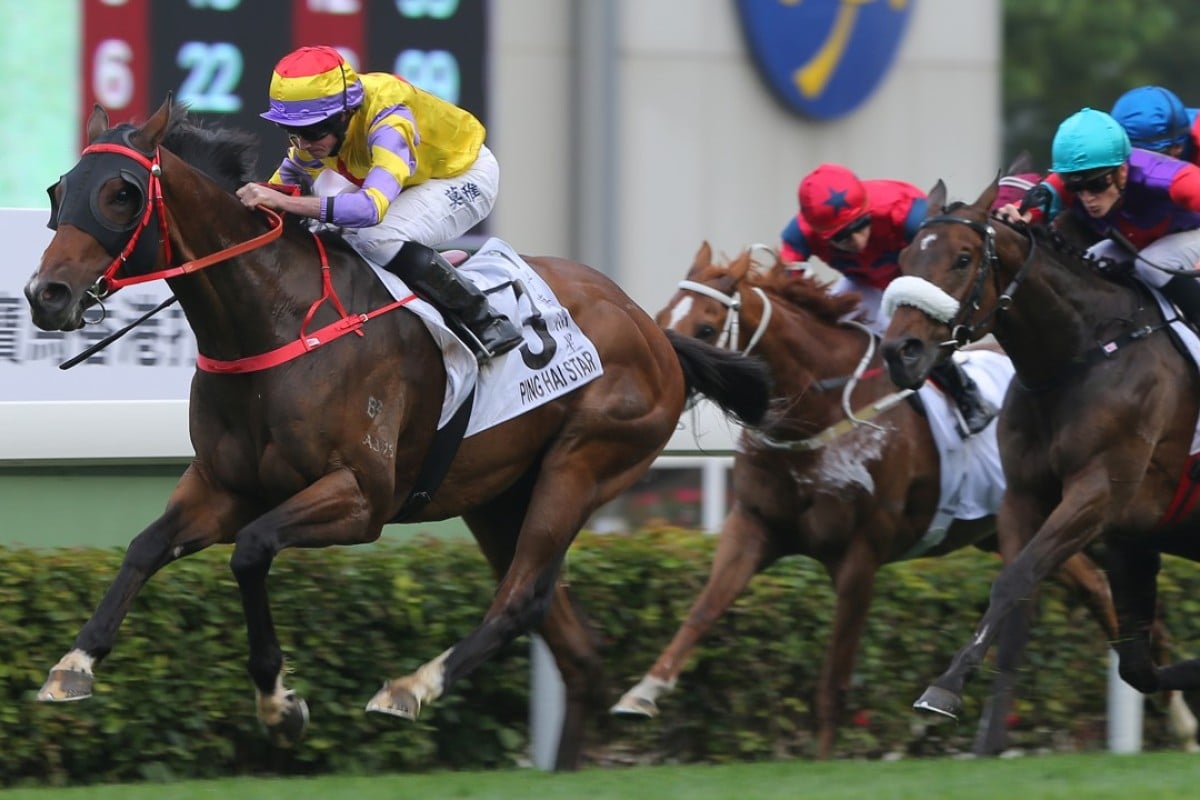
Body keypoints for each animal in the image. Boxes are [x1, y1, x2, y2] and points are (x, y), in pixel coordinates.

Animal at [25, 100, 768, 767]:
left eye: (121, 194)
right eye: (59, 190)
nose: (46, 295)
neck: (276, 317)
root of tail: (655, 331)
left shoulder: (361, 498)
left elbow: (251, 551)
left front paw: (281, 705)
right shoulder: (223, 485)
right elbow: (146, 547)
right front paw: (73, 665)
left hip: (582, 466)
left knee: (521, 598)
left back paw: (410, 689)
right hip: (497, 498)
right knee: (573, 643)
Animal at [614, 242, 1166, 758]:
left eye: (707, 328)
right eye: (663, 317)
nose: (669, 372)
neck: (815, 415)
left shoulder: (860, 553)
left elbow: (834, 679)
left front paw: (822, 761)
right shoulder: (754, 525)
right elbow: (704, 610)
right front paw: (642, 693)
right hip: (1013, 528)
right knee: (1094, 587)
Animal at [878, 179, 1200, 724]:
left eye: (963, 258)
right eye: (903, 256)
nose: (901, 353)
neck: (1081, 354)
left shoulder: (1098, 494)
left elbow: (1018, 578)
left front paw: (944, 688)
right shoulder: (1026, 496)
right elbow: (1018, 585)